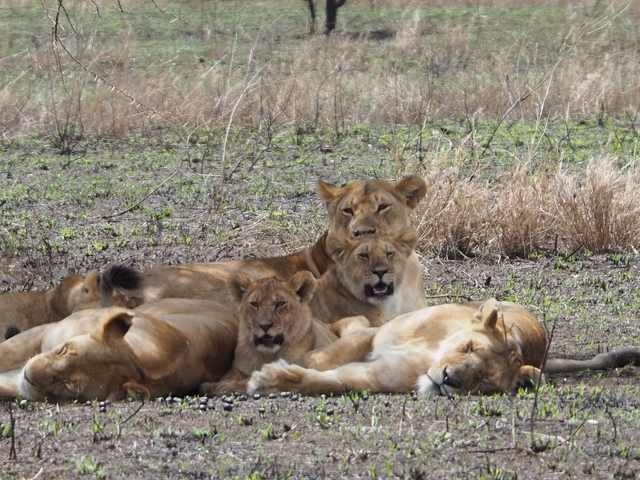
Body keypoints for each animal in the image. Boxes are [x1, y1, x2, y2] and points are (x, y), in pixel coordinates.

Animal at [199, 271, 370, 396]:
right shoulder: (238, 368)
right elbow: (230, 376)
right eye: (254, 304)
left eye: (280, 303)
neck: (267, 355)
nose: (264, 325)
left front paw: (216, 387)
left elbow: (250, 380)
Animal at [247, 299, 640, 397]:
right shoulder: (375, 338)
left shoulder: (375, 375)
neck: (430, 354)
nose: (449, 379)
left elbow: (330, 380)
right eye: (468, 347)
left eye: (483, 380)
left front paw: (273, 380)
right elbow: (324, 358)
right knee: (353, 323)